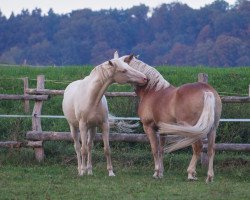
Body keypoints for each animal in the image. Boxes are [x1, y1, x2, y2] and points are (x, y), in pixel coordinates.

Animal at [120, 53, 222, 183]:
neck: (151, 90)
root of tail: (206, 91)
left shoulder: (148, 127)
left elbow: (154, 149)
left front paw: (156, 172)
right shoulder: (162, 130)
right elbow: (161, 149)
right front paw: (161, 173)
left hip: (193, 130)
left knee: (198, 148)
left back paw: (191, 173)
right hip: (212, 129)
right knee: (210, 150)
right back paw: (209, 177)